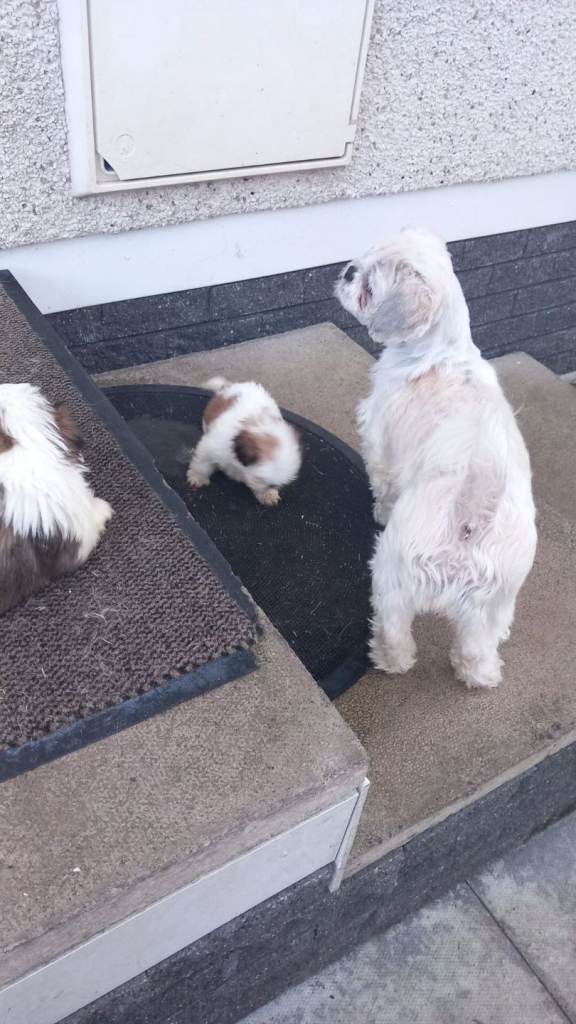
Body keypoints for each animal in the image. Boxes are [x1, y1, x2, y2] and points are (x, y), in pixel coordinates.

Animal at [187, 377, 302, 506]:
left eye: (273, 485)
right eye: (260, 479)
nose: (271, 487)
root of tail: (231, 386)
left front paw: (267, 494)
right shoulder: (213, 446)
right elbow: (202, 463)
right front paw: (198, 476)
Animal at [335, 227, 537, 689]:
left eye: (368, 286)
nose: (348, 270)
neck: (442, 351)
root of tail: (471, 512)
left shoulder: (379, 438)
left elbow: (382, 479)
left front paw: (380, 508)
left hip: (394, 572)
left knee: (395, 627)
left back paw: (388, 658)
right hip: (496, 599)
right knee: (478, 645)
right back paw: (480, 675)